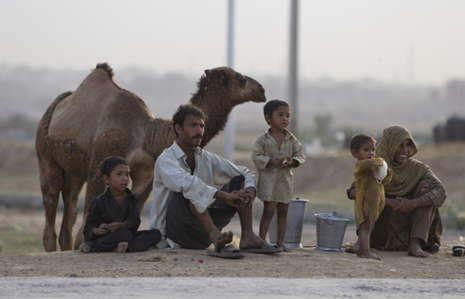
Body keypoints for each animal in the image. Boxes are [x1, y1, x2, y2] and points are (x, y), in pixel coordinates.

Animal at [36, 63, 266, 253]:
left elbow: (136, 206)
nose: (262, 90)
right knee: (51, 194)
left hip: (73, 170)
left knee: (71, 197)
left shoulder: (145, 173)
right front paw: (86, 243)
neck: (146, 136)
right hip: (45, 150)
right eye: (241, 79)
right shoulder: (102, 158)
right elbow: (92, 206)